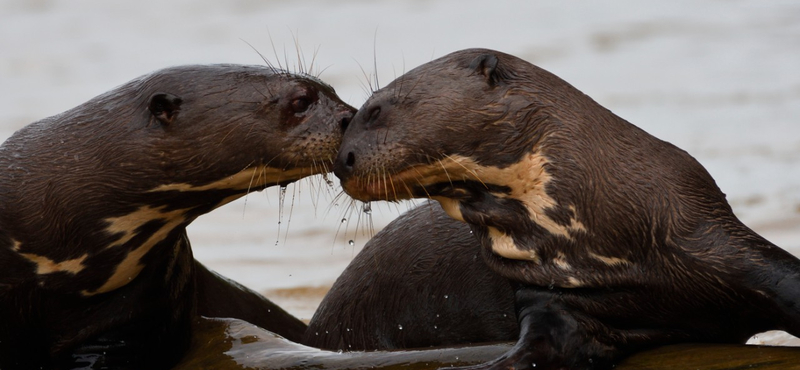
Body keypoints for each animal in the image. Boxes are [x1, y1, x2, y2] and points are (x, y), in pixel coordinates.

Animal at [330, 47, 800, 368]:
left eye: (373, 111)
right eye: (347, 119)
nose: (340, 160)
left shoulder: (708, 235)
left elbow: (783, 279)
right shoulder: (550, 300)